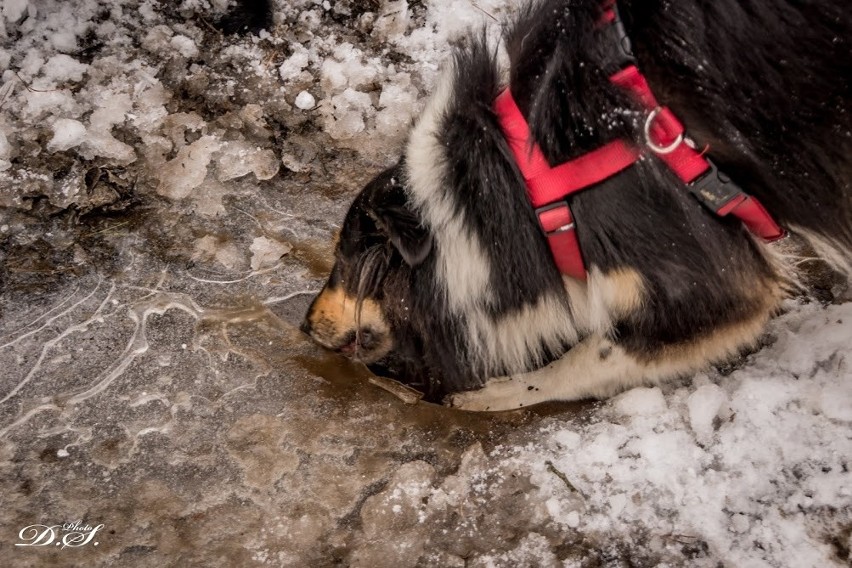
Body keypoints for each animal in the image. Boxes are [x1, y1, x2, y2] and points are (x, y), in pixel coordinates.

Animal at [302, 0, 852, 410]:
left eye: (346, 258)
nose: (305, 325)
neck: (531, 179)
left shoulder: (707, 283)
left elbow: (591, 356)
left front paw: (491, 395)